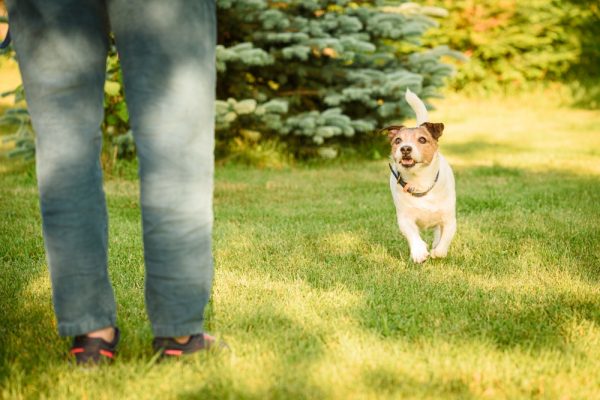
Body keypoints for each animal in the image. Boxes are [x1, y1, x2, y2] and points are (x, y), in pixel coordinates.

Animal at [384, 89, 454, 264]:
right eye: (398, 140)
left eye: (422, 139)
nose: (405, 148)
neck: (420, 180)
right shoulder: (404, 218)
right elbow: (412, 235)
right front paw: (419, 252)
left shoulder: (449, 219)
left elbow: (446, 237)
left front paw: (438, 251)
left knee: (438, 231)